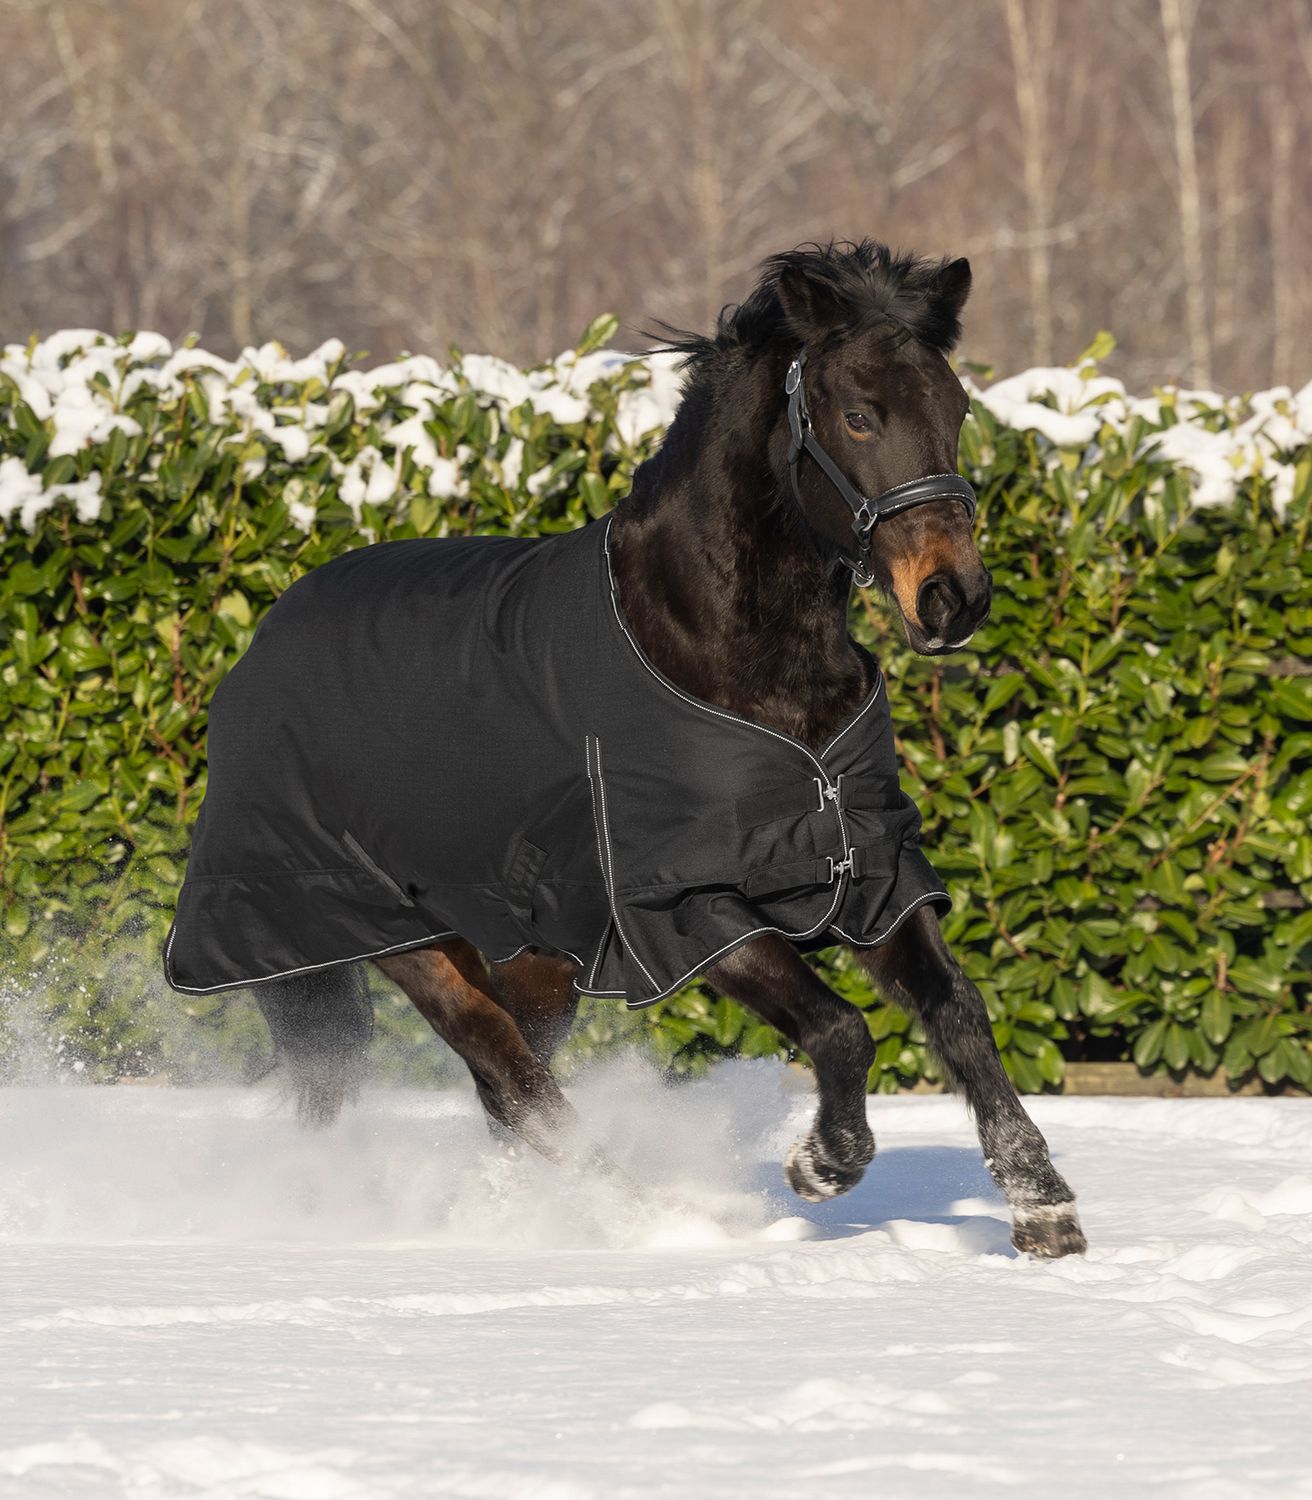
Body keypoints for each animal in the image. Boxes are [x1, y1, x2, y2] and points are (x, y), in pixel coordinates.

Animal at [177, 239, 1086, 1259]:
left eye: (956, 409)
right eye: (859, 413)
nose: (953, 599)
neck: (723, 643)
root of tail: (256, 652)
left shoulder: (871, 871)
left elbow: (959, 1013)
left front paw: (1043, 1209)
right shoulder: (686, 908)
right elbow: (841, 1028)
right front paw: (824, 1164)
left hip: (533, 960)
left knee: (503, 1086)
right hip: (386, 932)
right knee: (511, 1077)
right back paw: (636, 1217)